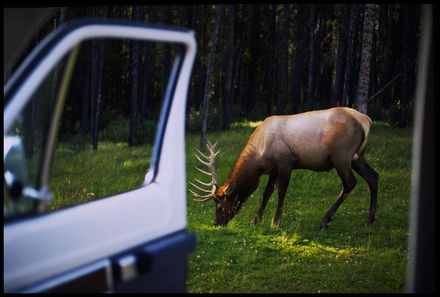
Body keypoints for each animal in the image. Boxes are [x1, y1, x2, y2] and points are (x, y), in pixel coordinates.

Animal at [191, 107, 380, 229]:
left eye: (219, 207)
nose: (215, 224)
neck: (259, 158)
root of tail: (366, 121)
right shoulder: (273, 169)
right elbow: (266, 193)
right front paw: (255, 220)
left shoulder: (286, 161)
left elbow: (281, 191)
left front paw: (275, 221)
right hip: (357, 157)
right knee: (373, 176)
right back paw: (370, 218)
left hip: (341, 156)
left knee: (350, 183)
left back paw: (325, 220)